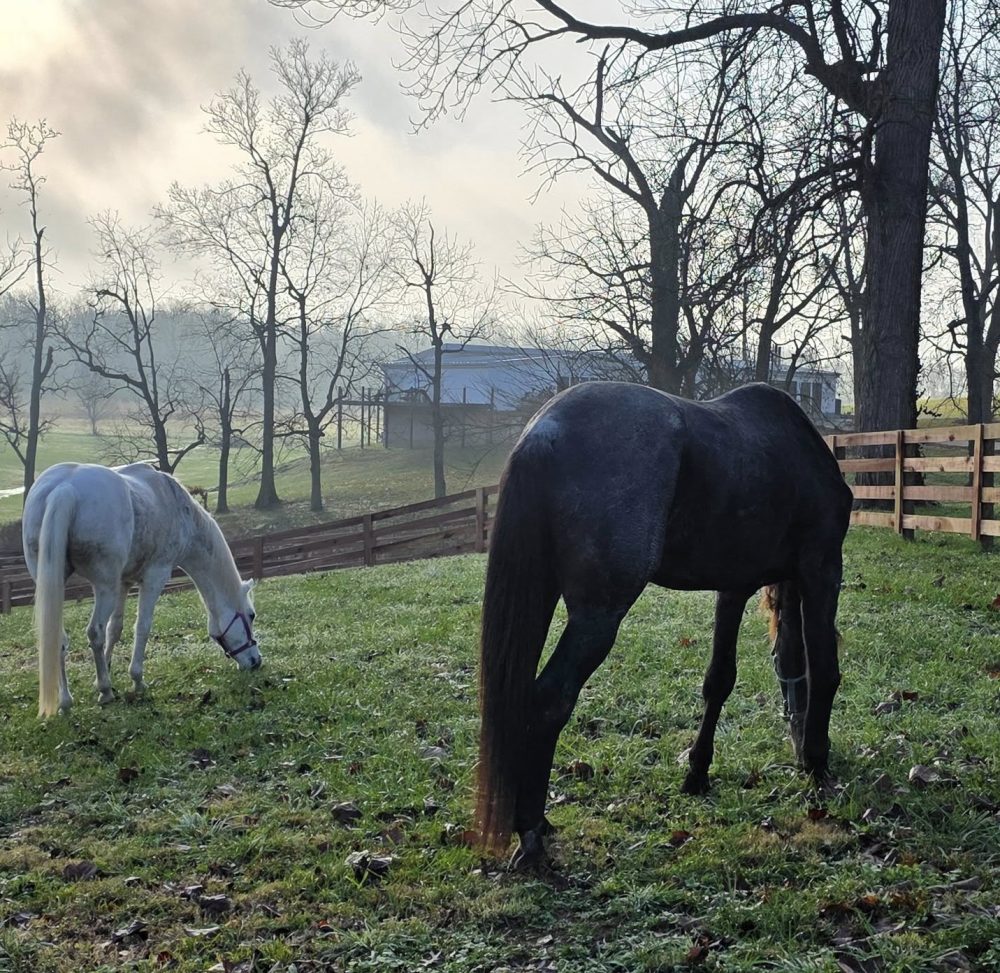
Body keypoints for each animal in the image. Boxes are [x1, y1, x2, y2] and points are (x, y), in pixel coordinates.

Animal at [22, 462, 262, 718]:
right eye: (251, 615)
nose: (256, 661)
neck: (179, 510)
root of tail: (64, 489)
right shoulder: (155, 577)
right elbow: (142, 627)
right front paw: (135, 681)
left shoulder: (123, 583)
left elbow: (115, 629)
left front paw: (103, 673)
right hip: (104, 587)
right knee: (95, 632)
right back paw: (105, 693)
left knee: (62, 637)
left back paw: (66, 702)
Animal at [476, 382, 853, 866]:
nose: (803, 754)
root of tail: (545, 431)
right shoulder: (820, 568)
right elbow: (823, 669)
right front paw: (819, 764)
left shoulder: (735, 586)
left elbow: (721, 679)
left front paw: (698, 771)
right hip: (598, 615)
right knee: (549, 699)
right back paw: (530, 832)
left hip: (539, 594)